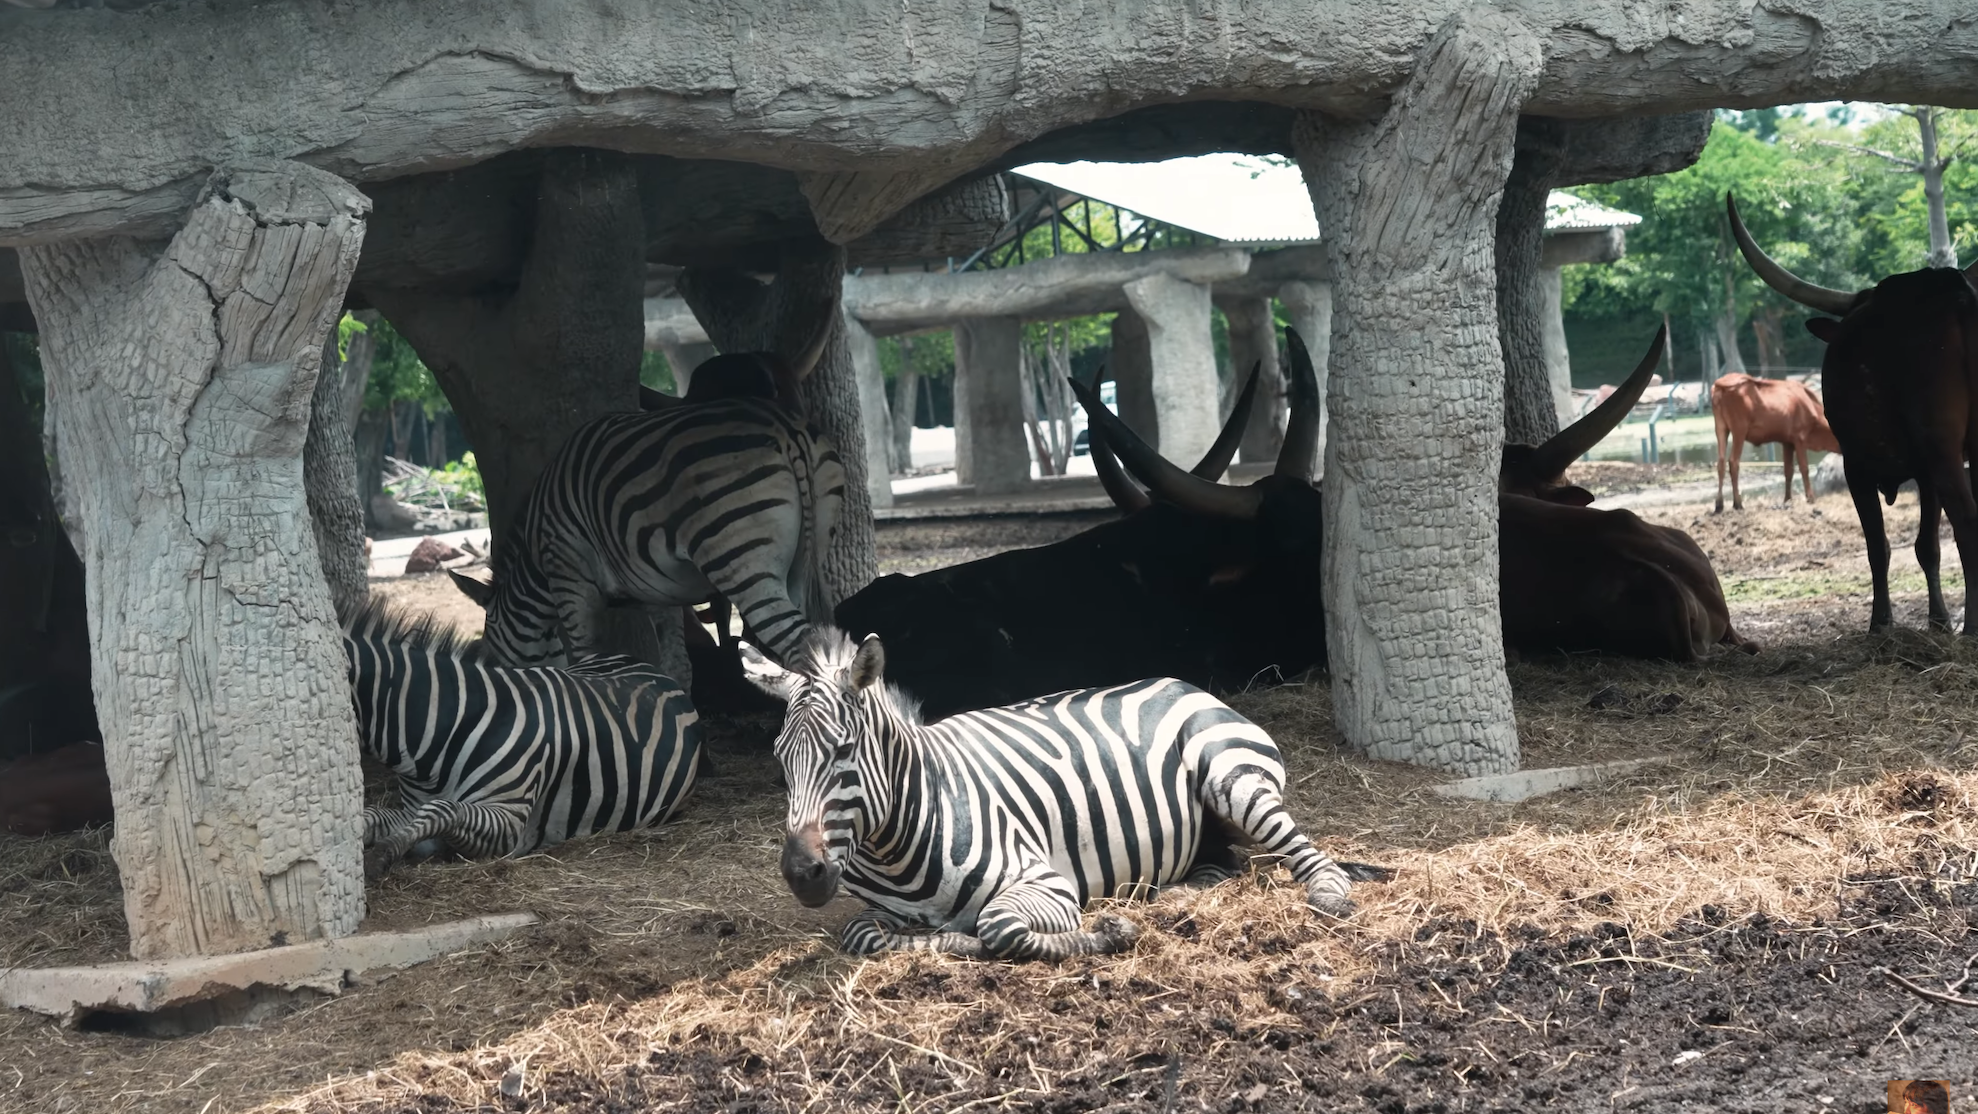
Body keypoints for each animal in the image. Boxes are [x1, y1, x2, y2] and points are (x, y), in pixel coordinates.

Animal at [346, 601, 704, 882]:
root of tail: (652, 670)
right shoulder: (412, 809)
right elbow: (372, 816)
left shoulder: (509, 824)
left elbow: (441, 809)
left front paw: (381, 855)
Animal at [452, 393, 846, 668]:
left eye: (491, 653)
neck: (536, 558)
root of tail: (785, 428)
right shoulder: (658, 589)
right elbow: (674, 662)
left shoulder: (569, 577)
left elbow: (585, 660)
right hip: (805, 558)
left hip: (741, 560)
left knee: (801, 646)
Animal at [735, 629, 1384, 957]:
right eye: (781, 761)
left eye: (843, 751)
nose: (801, 874)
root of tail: (1185, 683)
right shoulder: (876, 913)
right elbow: (864, 935)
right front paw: (950, 941)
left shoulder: (1046, 881)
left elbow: (998, 927)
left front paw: (1108, 932)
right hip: (1209, 831)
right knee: (1221, 865)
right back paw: (1173, 895)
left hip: (1231, 775)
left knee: (1308, 854)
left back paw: (1327, 893)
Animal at [1708, 373, 1843, 514]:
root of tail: (1721, 382)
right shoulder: (1799, 439)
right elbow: (1804, 468)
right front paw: (1810, 498)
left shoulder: (1787, 442)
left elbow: (1788, 470)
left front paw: (1787, 499)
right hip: (1739, 430)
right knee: (1733, 462)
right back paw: (1738, 503)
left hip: (1721, 428)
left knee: (1721, 463)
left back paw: (1719, 505)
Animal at [1724, 191, 1978, 637]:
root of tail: (1955, 296)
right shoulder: (1922, 473)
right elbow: (1926, 547)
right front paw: (1938, 621)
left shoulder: (1858, 465)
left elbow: (1879, 546)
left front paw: (1881, 624)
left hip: (1941, 448)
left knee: (1966, 521)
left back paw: (1974, 627)